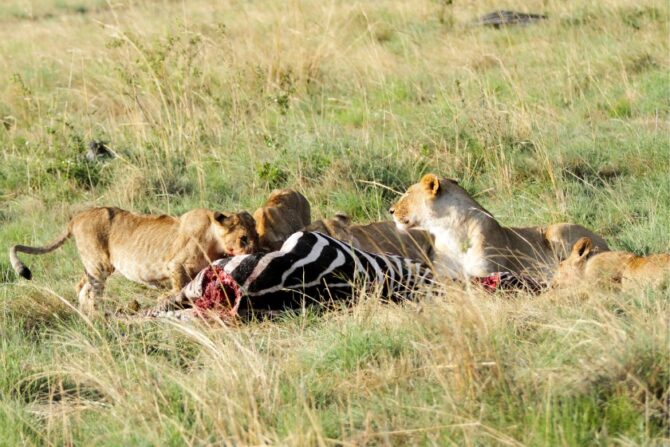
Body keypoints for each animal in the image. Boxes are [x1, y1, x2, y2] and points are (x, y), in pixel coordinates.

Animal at [9, 207, 260, 316]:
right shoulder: (175, 264)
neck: (213, 238)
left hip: (93, 264)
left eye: (256, 235)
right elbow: (178, 285)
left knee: (81, 286)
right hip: (99, 265)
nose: (258, 252)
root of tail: (78, 216)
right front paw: (166, 297)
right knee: (92, 291)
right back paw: (97, 315)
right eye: (243, 238)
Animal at [392, 174, 612, 280]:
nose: (390, 210)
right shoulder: (443, 274)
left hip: (557, 230)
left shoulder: (485, 273)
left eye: (408, 193)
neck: (448, 231)